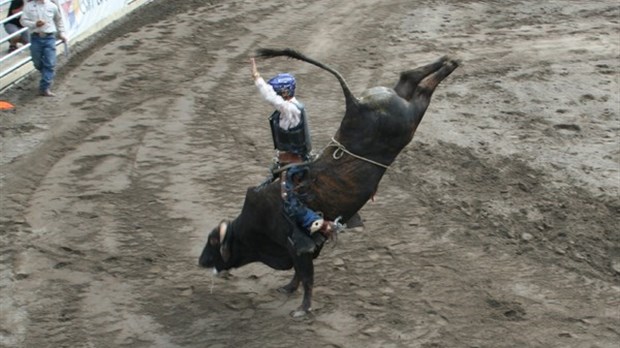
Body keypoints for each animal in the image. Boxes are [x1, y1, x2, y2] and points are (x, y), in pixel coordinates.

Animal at [201, 48, 458, 318]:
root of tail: (355, 104)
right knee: (408, 77)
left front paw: (303, 309)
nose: (200, 261)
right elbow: (300, 273)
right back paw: (447, 60)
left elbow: (306, 276)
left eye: (212, 243)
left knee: (423, 93)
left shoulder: (298, 247)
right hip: (401, 101)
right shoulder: (308, 247)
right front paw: (289, 289)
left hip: (409, 118)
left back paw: (450, 64)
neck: (255, 224)